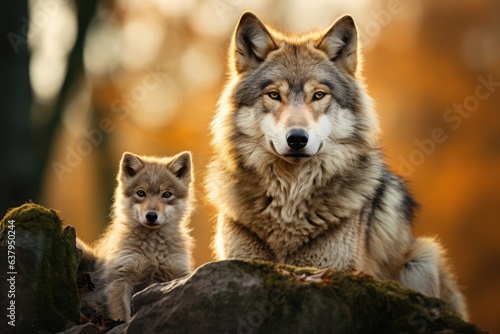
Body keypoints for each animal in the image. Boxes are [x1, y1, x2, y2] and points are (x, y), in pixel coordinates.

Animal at [205, 12, 466, 318]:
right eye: (274, 95)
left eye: (318, 95)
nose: (297, 138)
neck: (290, 200)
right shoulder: (242, 260)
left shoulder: (334, 269)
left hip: (424, 257)